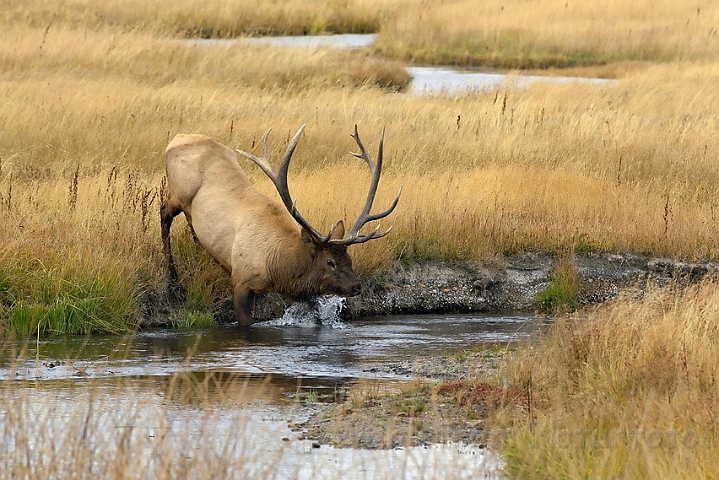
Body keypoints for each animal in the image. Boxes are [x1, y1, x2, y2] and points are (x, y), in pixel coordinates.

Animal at [160, 124, 402, 326]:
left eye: (349, 259)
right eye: (329, 261)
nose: (356, 286)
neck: (277, 266)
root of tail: (176, 138)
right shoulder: (240, 281)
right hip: (177, 195)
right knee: (164, 215)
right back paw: (172, 278)